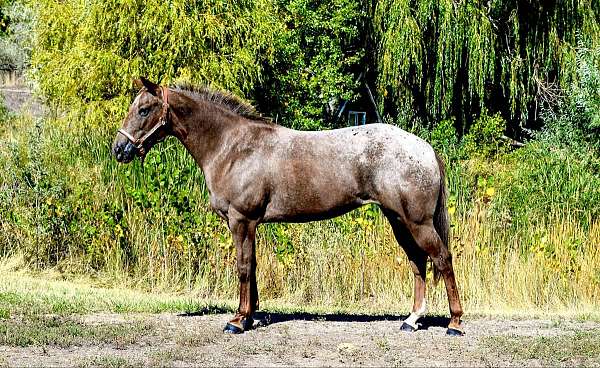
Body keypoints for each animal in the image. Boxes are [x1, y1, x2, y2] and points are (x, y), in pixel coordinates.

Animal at [113, 77, 468, 336]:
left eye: (144, 109)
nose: (119, 149)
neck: (233, 147)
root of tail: (425, 148)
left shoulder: (241, 221)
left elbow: (243, 267)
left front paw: (237, 321)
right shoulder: (249, 224)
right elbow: (253, 267)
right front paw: (250, 316)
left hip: (418, 222)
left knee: (442, 258)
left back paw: (454, 323)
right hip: (398, 220)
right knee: (418, 262)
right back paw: (412, 320)